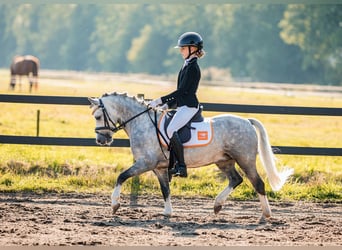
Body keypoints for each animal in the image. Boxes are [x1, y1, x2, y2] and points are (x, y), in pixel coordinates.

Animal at [89, 92, 294, 221]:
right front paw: (167, 212)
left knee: (257, 183)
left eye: (98, 116)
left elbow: (121, 176)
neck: (142, 123)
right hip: (224, 161)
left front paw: (115, 204)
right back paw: (217, 205)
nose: (101, 140)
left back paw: (265, 215)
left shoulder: (145, 163)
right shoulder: (159, 168)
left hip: (245, 160)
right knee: (236, 180)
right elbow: (165, 190)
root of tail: (247, 121)